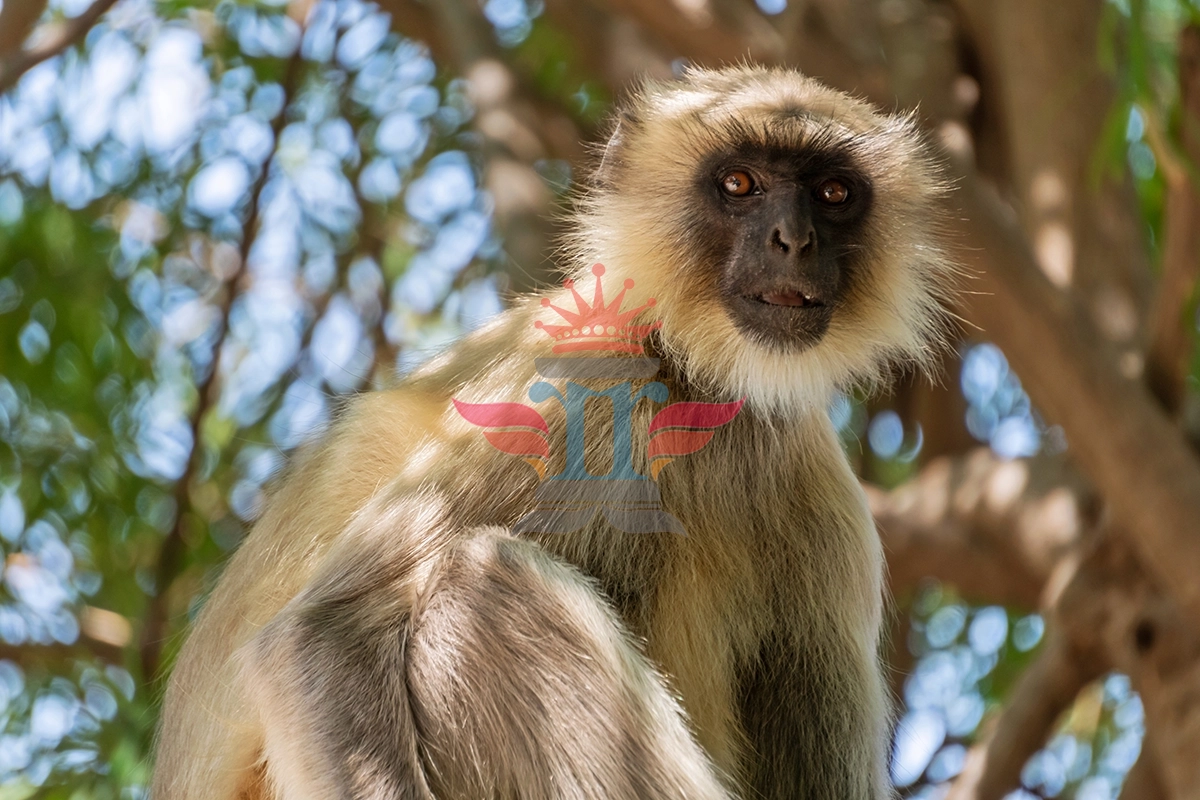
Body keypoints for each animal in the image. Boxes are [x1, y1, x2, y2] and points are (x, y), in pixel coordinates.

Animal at [151, 65, 954, 800]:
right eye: (739, 184)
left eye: (833, 194)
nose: (793, 240)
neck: (693, 379)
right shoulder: (589, 369)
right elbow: (320, 636)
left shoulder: (812, 477)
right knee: (475, 583)